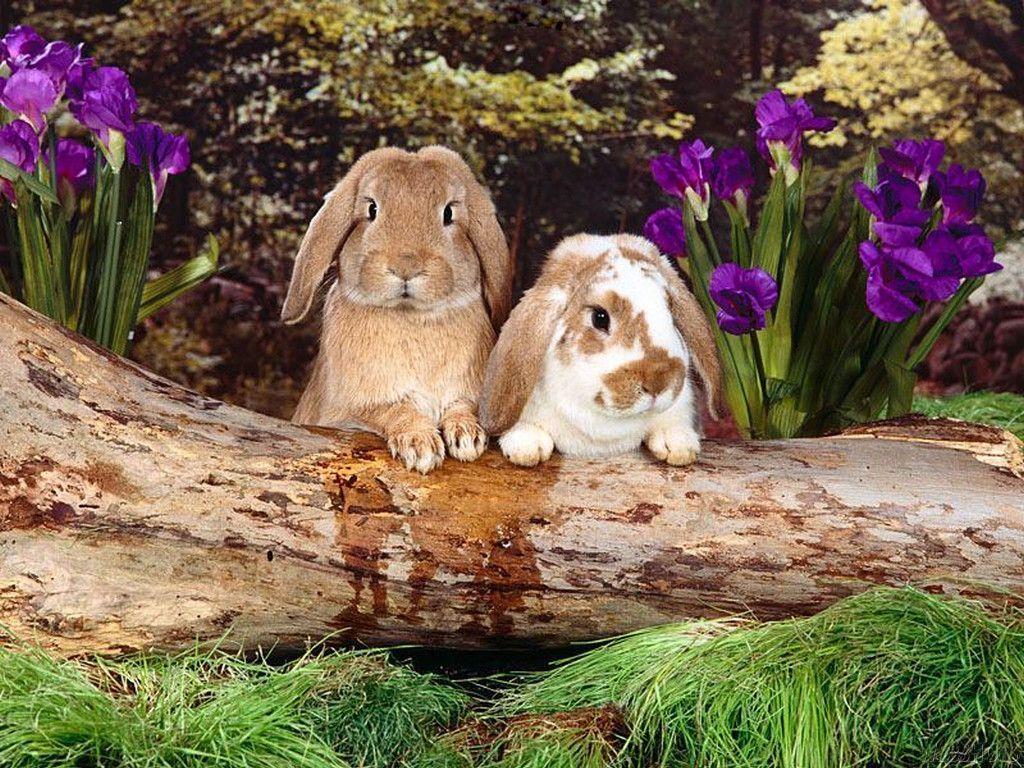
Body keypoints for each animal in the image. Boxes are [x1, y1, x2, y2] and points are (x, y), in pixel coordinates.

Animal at [281, 146, 513, 473]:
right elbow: (394, 410)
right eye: (372, 209)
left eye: (448, 213)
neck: (412, 316)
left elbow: (461, 405)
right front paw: (420, 446)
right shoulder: (354, 411)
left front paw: (468, 437)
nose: (406, 266)